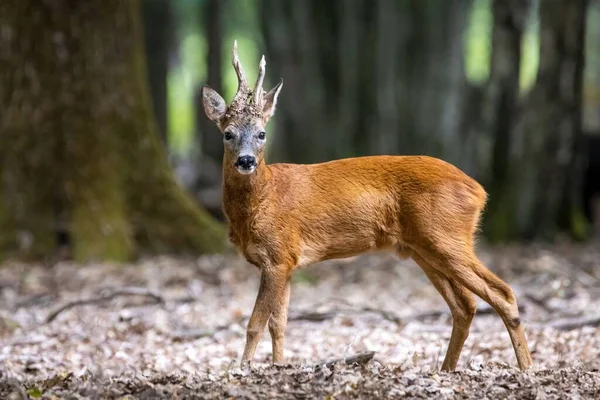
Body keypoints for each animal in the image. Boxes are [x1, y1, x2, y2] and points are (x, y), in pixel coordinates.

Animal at [203, 41, 536, 372]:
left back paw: (526, 368)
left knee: (502, 293)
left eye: (262, 134)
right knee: (465, 305)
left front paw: (242, 370)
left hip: (446, 237)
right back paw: (447, 369)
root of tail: (479, 191)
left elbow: (255, 324)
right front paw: (278, 367)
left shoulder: (277, 256)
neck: (263, 200)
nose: (246, 161)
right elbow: (279, 324)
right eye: (228, 133)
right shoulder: (287, 261)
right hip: (424, 249)